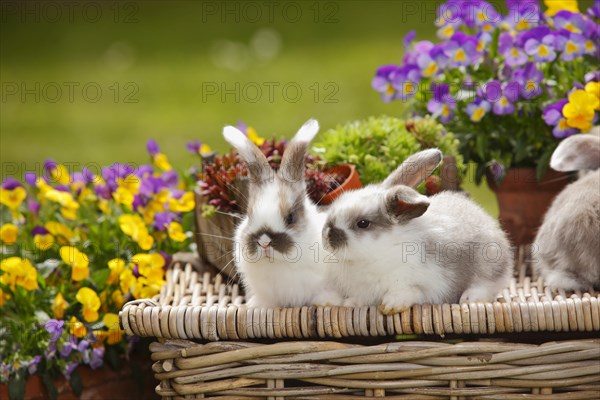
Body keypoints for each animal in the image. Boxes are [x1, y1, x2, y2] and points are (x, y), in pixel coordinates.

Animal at [221, 120, 342, 308]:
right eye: (249, 215)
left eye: (290, 217)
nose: (264, 242)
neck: (279, 263)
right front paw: (256, 306)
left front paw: (329, 302)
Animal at [322, 148, 512, 314]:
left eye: (363, 223)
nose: (327, 236)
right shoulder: (365, 290)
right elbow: (362, 299)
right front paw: (349, 304)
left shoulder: (426, 282)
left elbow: (411, 292)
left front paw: (391, 305)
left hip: (488, 263)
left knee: (488, 285)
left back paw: (469, 299)